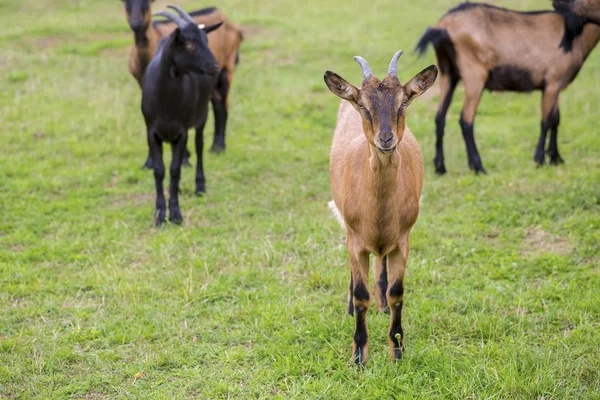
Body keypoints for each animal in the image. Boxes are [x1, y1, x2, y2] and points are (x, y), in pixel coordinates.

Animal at [142, 4, 221, 227]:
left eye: (207, 40)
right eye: (189, 44)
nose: (216, 67)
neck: (165, 102)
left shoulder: (181, 132)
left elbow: (175, 170)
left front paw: (176, 213)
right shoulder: (152, 132)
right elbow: (159, 170)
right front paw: (160, 214)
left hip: (202, 115)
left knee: (200, 145)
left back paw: (200, 186)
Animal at [326, 50, 438, 366]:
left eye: (403, 102)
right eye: (363, 105)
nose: (386, 138)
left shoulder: (403, 239)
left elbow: (397, 293)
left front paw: (397, 352)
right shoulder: (355, 240)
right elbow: (361, 294)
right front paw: (359, 357)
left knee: (382, 264)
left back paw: (383, 305)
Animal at [418, 1, 600, 173]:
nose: (558, 2)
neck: (577, 36)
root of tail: (442, 26)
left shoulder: (556, 86)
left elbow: (555, 119)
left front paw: (556, 158)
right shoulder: (552, 82)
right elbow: (546, 121)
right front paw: (540, 160)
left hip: (447, 73)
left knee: (440, 117)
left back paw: (440, 167)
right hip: (474, 74)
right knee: (466, 120)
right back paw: (478, 167)